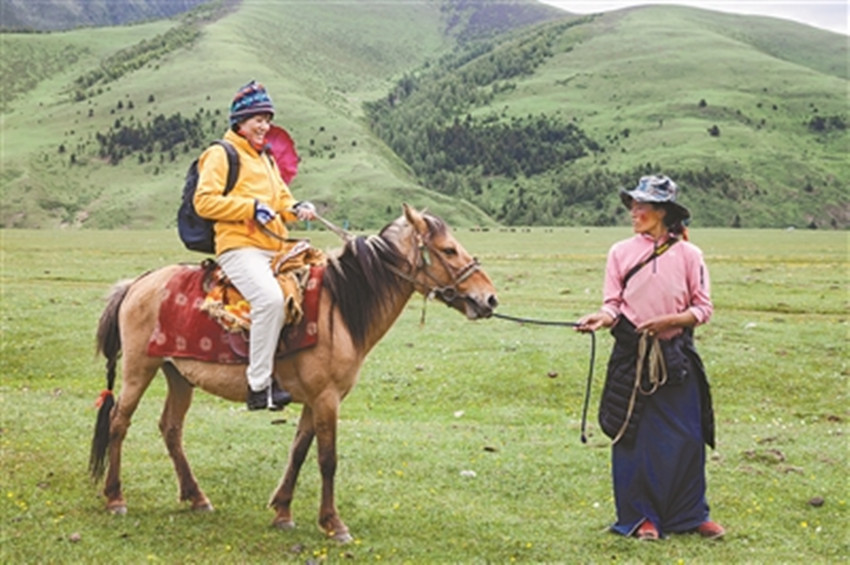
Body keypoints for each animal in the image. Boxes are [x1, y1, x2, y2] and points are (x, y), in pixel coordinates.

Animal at [89, 204, 498, 542]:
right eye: (448, 250)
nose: (489, 298)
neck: (341, 307)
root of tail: (137, 283)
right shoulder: (327, 398)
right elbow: (327, 459)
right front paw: (334, 524)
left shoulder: (314, 399)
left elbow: (300, 450)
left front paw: (283, 512)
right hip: (139, 369)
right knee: (119, 422)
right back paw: (115, 498)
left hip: (178, 375)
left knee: (171, 429)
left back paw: (197, 497)